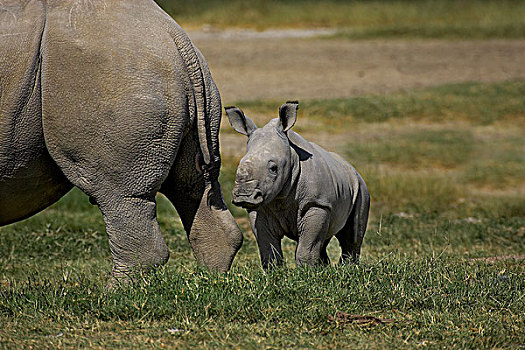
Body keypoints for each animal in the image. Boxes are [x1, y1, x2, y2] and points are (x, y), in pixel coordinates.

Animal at [1, 0, 243, 278]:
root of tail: (176, 37)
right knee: (194, 184)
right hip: (174, 78)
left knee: (117, 194)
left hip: (113, 77)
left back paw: (110, 291)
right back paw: (211, 280)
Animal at [224, 101, 368, 268]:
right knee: (324, 238)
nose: (243, 196)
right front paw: (275, 270)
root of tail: (351, 167)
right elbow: (268, 246)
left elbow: (307, 245)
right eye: (239, 165)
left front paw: (306, 270)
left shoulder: (316, 203)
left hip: (360, 187)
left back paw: (348, 268)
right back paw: (326, 267)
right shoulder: (259, 209)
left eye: (273, 168)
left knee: (352, 236)